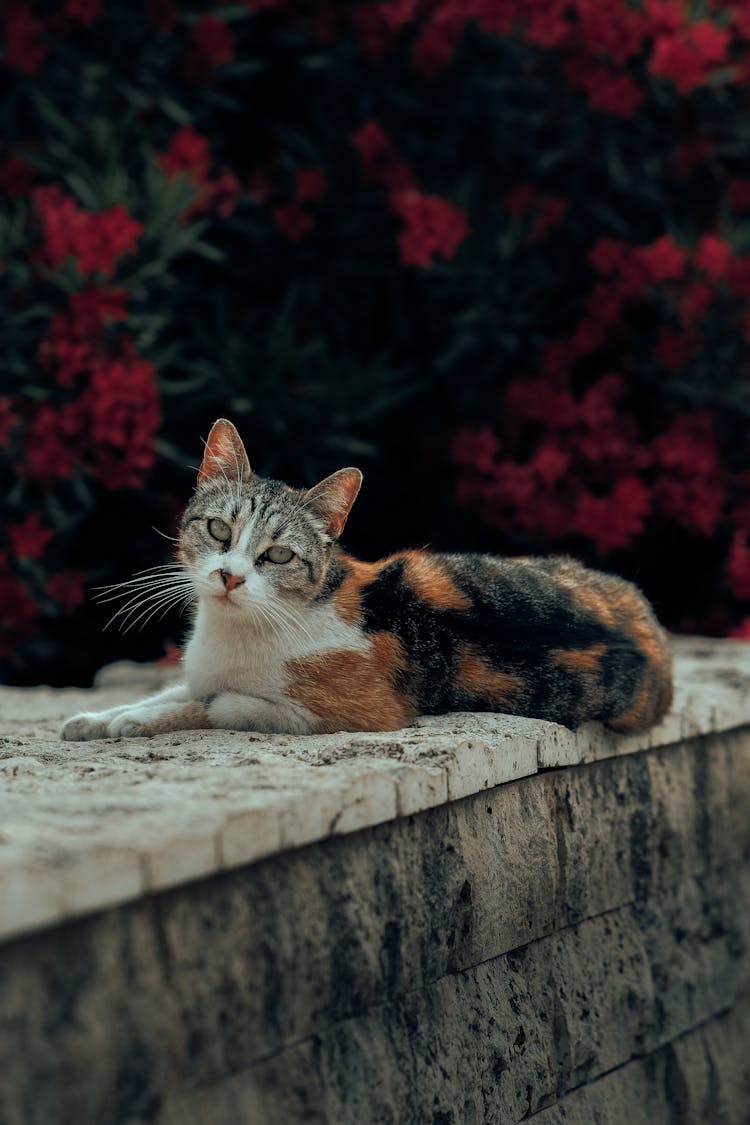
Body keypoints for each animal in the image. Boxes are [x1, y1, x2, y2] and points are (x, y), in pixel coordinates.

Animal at [62, 418, 674, 742]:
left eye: (277, 555)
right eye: (218, 529)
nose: (230, 577)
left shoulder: (352, 713)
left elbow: (216, 705)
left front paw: (134, 721)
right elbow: (172, 689)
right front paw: (97, 718)